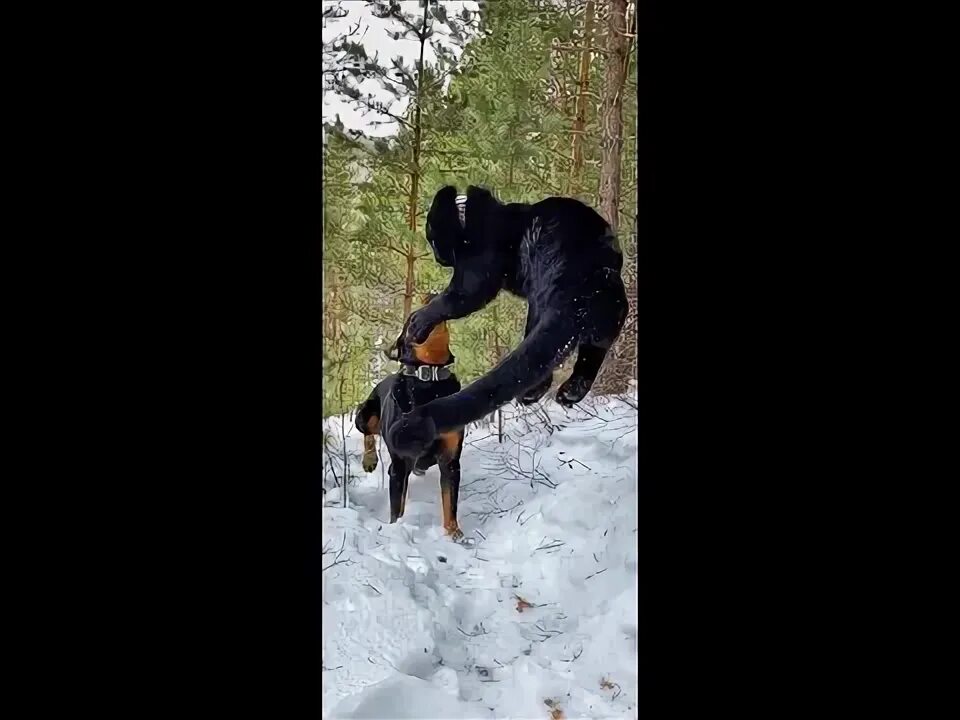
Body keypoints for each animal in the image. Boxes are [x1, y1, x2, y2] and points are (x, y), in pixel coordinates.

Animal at [358, 296, 466, 536]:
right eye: (412, 317)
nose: (429, 296)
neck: (429, 381)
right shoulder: (399, 463)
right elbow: (396, 508)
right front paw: (396, 529)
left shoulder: (450, 459)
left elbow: (450, 502)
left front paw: (454, 534)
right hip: (365, 413)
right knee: (368, 432)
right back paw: (369, 460)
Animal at [390, 186, 632, 456]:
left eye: (432, 238)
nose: (438, 258)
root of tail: (580, 285)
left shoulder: (477, 274)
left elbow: (453, 299)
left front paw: (418, 321)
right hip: (610, 315)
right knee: (589, 354)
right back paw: (569, 392)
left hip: (540, 304)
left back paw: (535, 393)